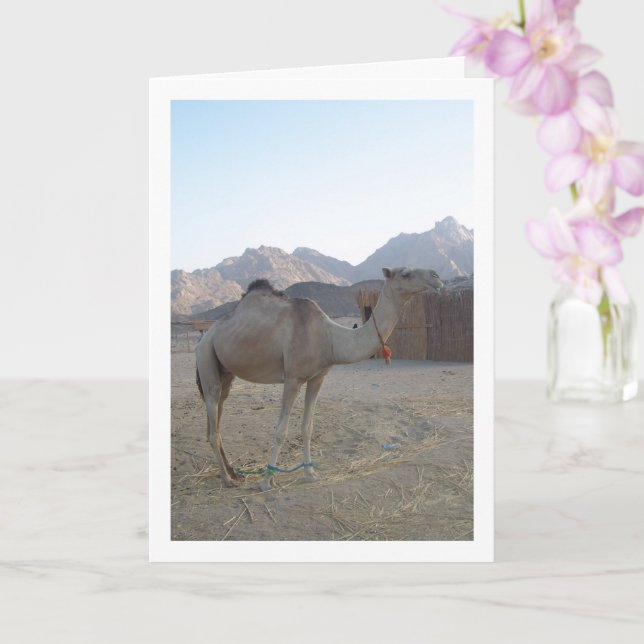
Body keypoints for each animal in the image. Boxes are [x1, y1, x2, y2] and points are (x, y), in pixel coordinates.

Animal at [195, 266, 443, 491]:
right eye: (406, 274)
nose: (436, 277)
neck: (330, 337)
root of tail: (206, 335)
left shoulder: (317, 378)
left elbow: (307, 427)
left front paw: (310, 474)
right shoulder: (293, 378)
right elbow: (281, 430)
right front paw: (267, 481)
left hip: (226, 373)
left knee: (217, 418)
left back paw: (233, 473)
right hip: (206, 358)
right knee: (212, 422)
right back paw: (227, 480)